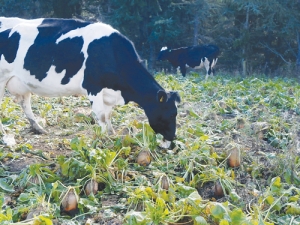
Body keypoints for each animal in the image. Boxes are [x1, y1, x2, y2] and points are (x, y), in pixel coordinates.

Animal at [0, 17, 180, 141]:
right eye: (171, 114)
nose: (172, 139)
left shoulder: (108, 93)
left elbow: (108, 115)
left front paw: (112, 134)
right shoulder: (93, 87)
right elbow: (101, 116)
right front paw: (103, 140)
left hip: (22, 83)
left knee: (25, 103)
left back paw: (38, 128)